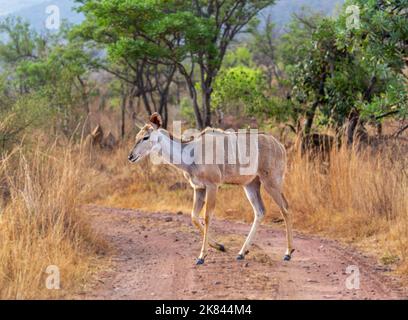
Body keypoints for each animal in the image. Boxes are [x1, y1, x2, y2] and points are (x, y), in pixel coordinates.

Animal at [127, 112, 294, 264]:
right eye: (136, 137)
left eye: (145, 137)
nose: (131, 156)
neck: (191, 153)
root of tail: (280, 146)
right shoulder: (199, 188)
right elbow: (194, 216)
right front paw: (220, 246)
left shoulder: (212, 185)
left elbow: (207, 216)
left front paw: (202, 256)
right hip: (251, 185)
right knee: (260, 211)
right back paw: (241, 253)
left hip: (271, 181)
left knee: (285, 208)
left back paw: (288, 253)